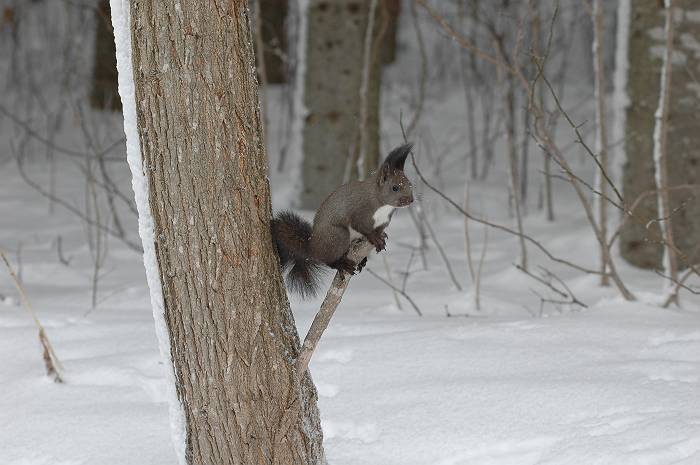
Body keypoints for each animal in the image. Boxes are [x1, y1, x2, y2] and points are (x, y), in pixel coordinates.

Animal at [272, 141, 416, 300]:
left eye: (410, 184)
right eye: (395, 188)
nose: (410, 200)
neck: (382, 204)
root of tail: (312, 247)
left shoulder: (384, 220)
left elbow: (380, 229)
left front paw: (382, 237)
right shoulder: (360, 213)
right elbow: (362, 227)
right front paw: (375, 238)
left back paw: (362, 261)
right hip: (338, 236)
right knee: (327, 260)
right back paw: (341, 264)